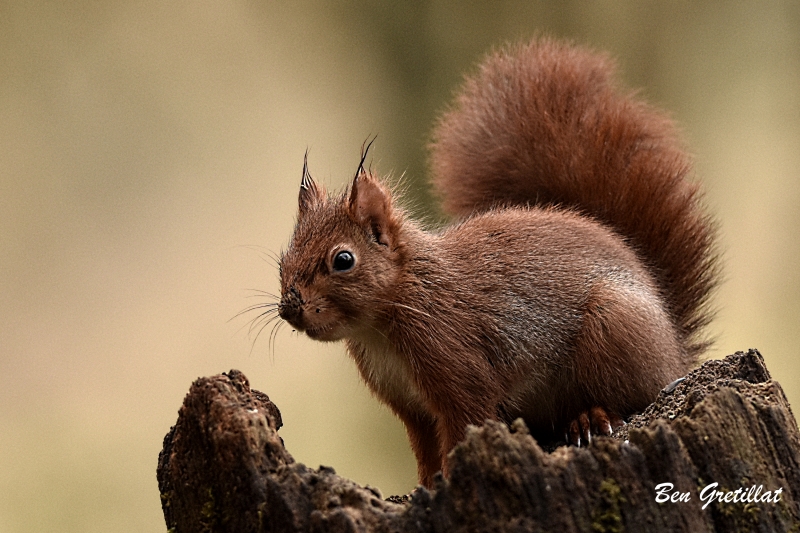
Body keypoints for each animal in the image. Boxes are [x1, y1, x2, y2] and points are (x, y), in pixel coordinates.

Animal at [276, 36, 720, 486]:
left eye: (343, 259)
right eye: (284, 257)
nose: (289, 308)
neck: (389, 314)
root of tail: (674, 347)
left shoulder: (459, 367)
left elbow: (463, 428)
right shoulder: (411, 408)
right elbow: (425, 451)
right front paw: (426, 485)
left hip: (614, 327)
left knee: (629, 397)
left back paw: (590, 419)